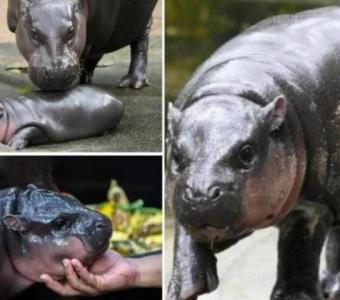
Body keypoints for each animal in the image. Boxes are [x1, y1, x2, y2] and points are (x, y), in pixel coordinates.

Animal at [7, 0, 157, 90]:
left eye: (71, 31)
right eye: (33, 32)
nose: (57, 72)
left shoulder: (91, 32)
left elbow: (85, 53)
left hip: (141, 21)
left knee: (140, 43)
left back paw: (133, 83)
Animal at [167, 6, 340, 300]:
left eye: (247, 153)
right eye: (176, 155)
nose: (201, 196)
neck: (233, 90)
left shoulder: (313, 205)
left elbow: (299, 250)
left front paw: (295, 297)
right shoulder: (178, 194)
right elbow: (186, 241)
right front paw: (183, 289)